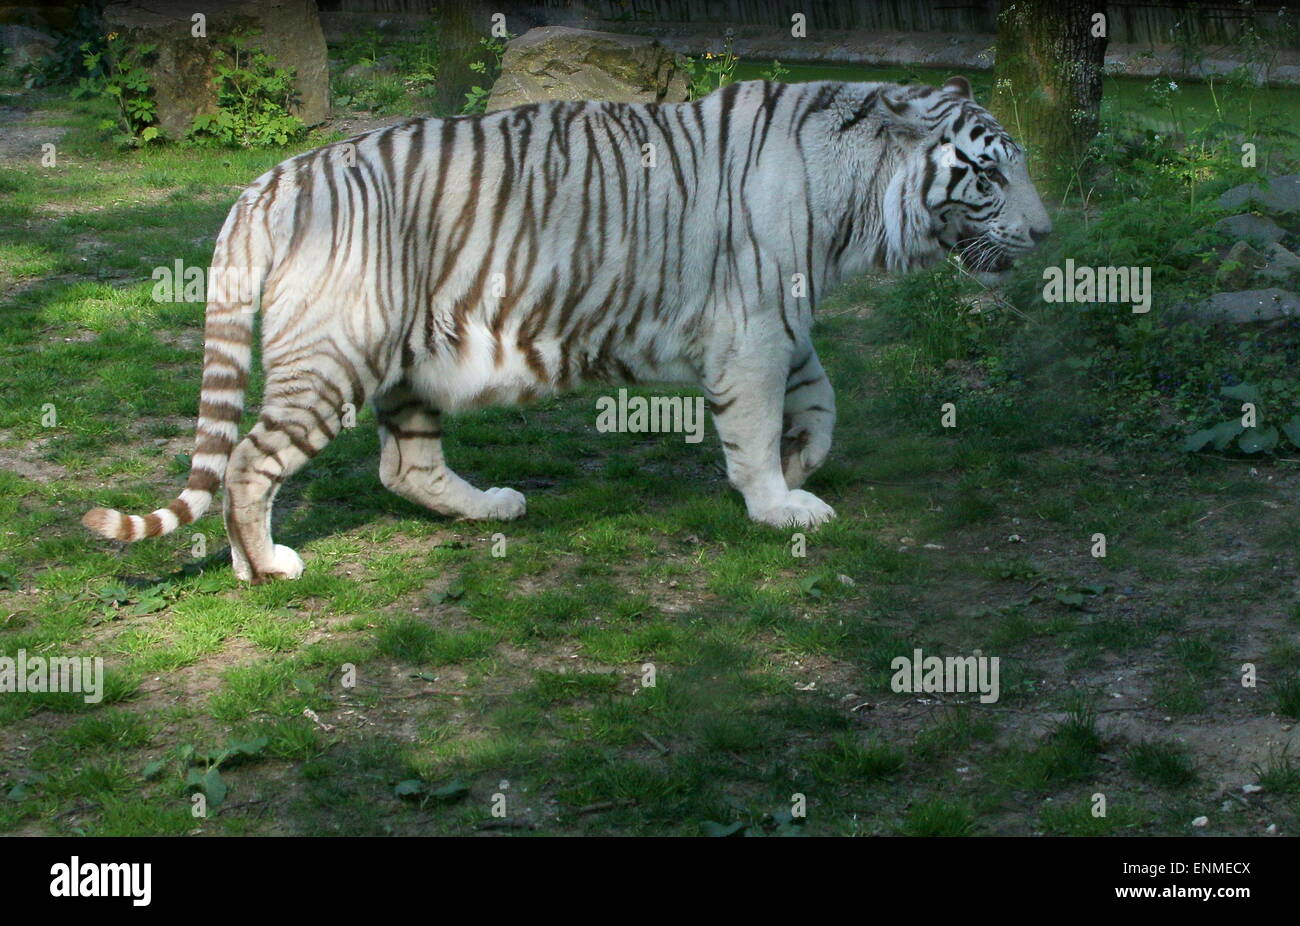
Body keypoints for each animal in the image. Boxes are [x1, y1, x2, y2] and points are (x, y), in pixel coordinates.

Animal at [81, 76, 1050, 582]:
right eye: (989, 176)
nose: (1045, 235)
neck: (855, 202)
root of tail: (265, 182)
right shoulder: (753, 330)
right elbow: (752, 426)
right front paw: (778, 504)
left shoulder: (784, 325)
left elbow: (822, 399)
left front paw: (804, 461)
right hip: (335, 357)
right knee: (250, 461)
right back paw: (265, 565)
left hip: (409, 362)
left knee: (405, 466)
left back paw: (490, 507)